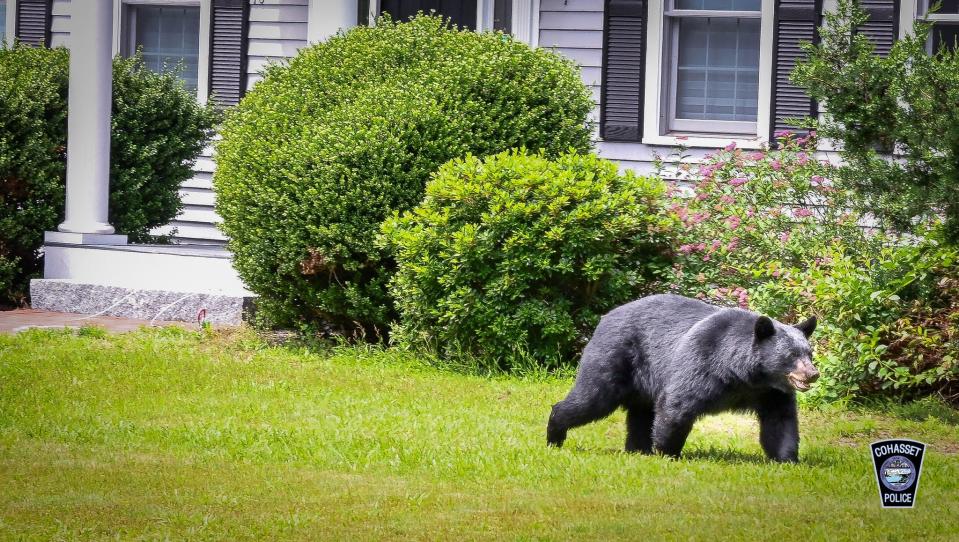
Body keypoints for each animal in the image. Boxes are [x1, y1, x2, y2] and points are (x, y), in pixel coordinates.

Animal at [548, 296, 816, 466]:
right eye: (792, 355)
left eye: (809, 353)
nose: (812, 374)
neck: (743, 374)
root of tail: (605, 317)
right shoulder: (702, 363)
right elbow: (678, 405)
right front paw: (668, 452)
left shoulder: (771, 392)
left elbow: (780, 422)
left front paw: (787, 459)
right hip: (615, 356)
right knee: (592, 397)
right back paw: (554, 436)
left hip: (643, 380)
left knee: (640, 414)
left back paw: (638, 449)